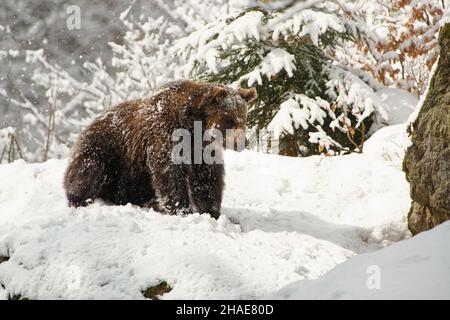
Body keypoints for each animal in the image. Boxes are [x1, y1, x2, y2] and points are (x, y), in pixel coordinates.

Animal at [63, 80, 256, 220]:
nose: (242, 142)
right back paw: (80, 199)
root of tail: (88, 125)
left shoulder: (202, 151)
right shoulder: (165, 135)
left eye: (243, 118)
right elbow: (169, 174)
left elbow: (207, 179)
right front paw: (182, 210)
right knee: (89, 170)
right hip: (105, 150)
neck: (194, 129)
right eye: (229, 120)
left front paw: (212, 212)